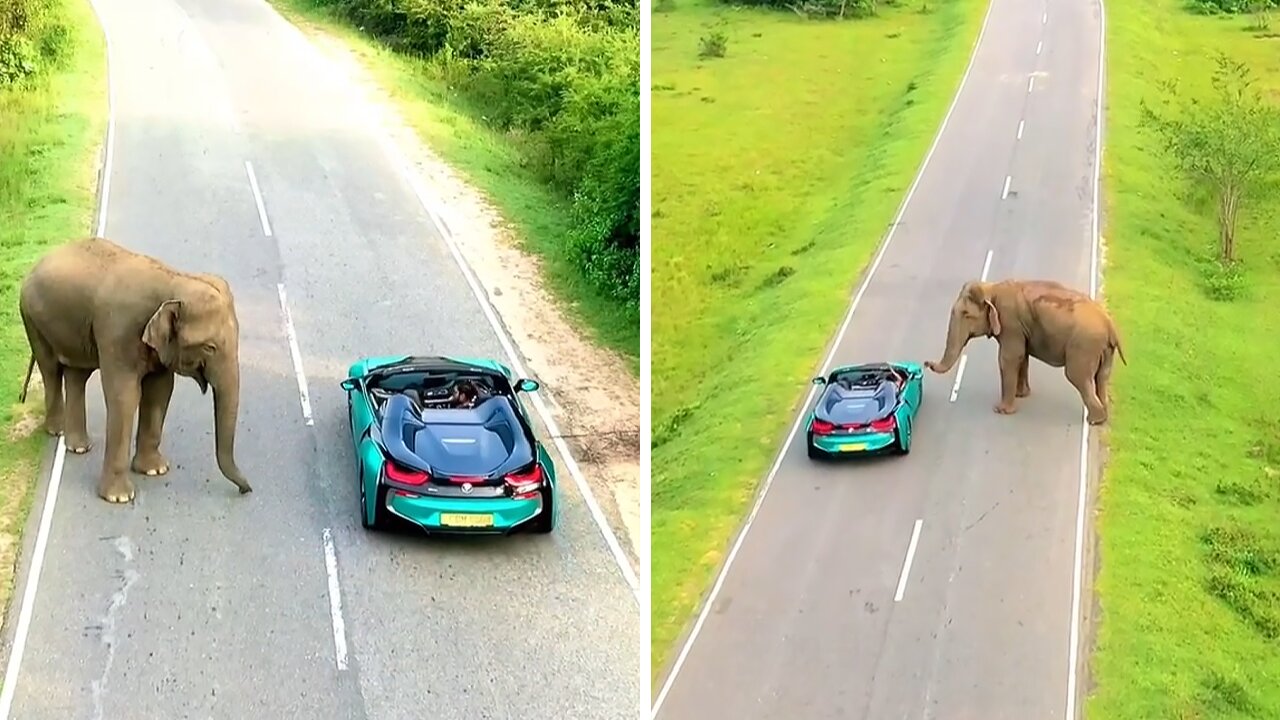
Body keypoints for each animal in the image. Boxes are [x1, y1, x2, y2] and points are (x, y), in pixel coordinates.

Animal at [16, 235, 252, 499]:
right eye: (210, 347)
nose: (246, 490)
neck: (174, 280)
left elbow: (159, 391)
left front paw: (155, 470)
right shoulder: (118, 331)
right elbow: (125, 395)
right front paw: (119, 497)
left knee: (77, 374)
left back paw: (78, 447)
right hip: (32, 318)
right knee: (50, 369)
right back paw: (57, 431)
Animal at [926, 279, 1126, 425]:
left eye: (966, 314)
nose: (926, 363)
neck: (991, 287)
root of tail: (1110, 325)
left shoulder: (1010, 323)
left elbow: (1009, 358)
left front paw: (1001, 410)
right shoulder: (1020, 329)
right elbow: (1022, 357)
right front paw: (1021, 395)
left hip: (1084, 347)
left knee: (1077, 376)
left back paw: (1094, 421)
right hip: (1103, 350)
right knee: (1101, 377)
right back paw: (1103, 417)